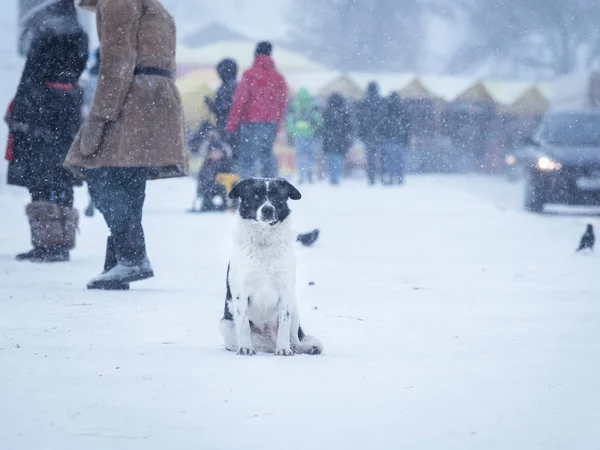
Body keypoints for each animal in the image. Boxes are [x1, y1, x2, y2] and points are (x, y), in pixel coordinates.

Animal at [220, 178, 324, 356]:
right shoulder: (241, 292)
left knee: (294, 340)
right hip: (226, 325)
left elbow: (284, 326)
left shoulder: (286, 291)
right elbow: (243, 326)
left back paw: (304, 348)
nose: (268, 209)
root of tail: (268, 339)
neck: (264, 242)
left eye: (276, 196)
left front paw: (283, 349)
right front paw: (246, 348)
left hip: (294, 308)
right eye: (255, 195)